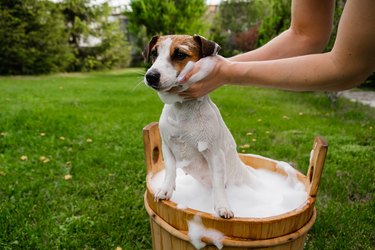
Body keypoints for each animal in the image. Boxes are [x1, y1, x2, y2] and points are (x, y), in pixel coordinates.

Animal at [142, 34, 258, 218]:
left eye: (180, 54)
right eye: (154, 53)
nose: (151, 76)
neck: (182, 110)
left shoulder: (215, 154)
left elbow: (218, 183)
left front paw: (222, 205)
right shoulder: (167, 146)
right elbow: (170, 170)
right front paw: (166, 189)